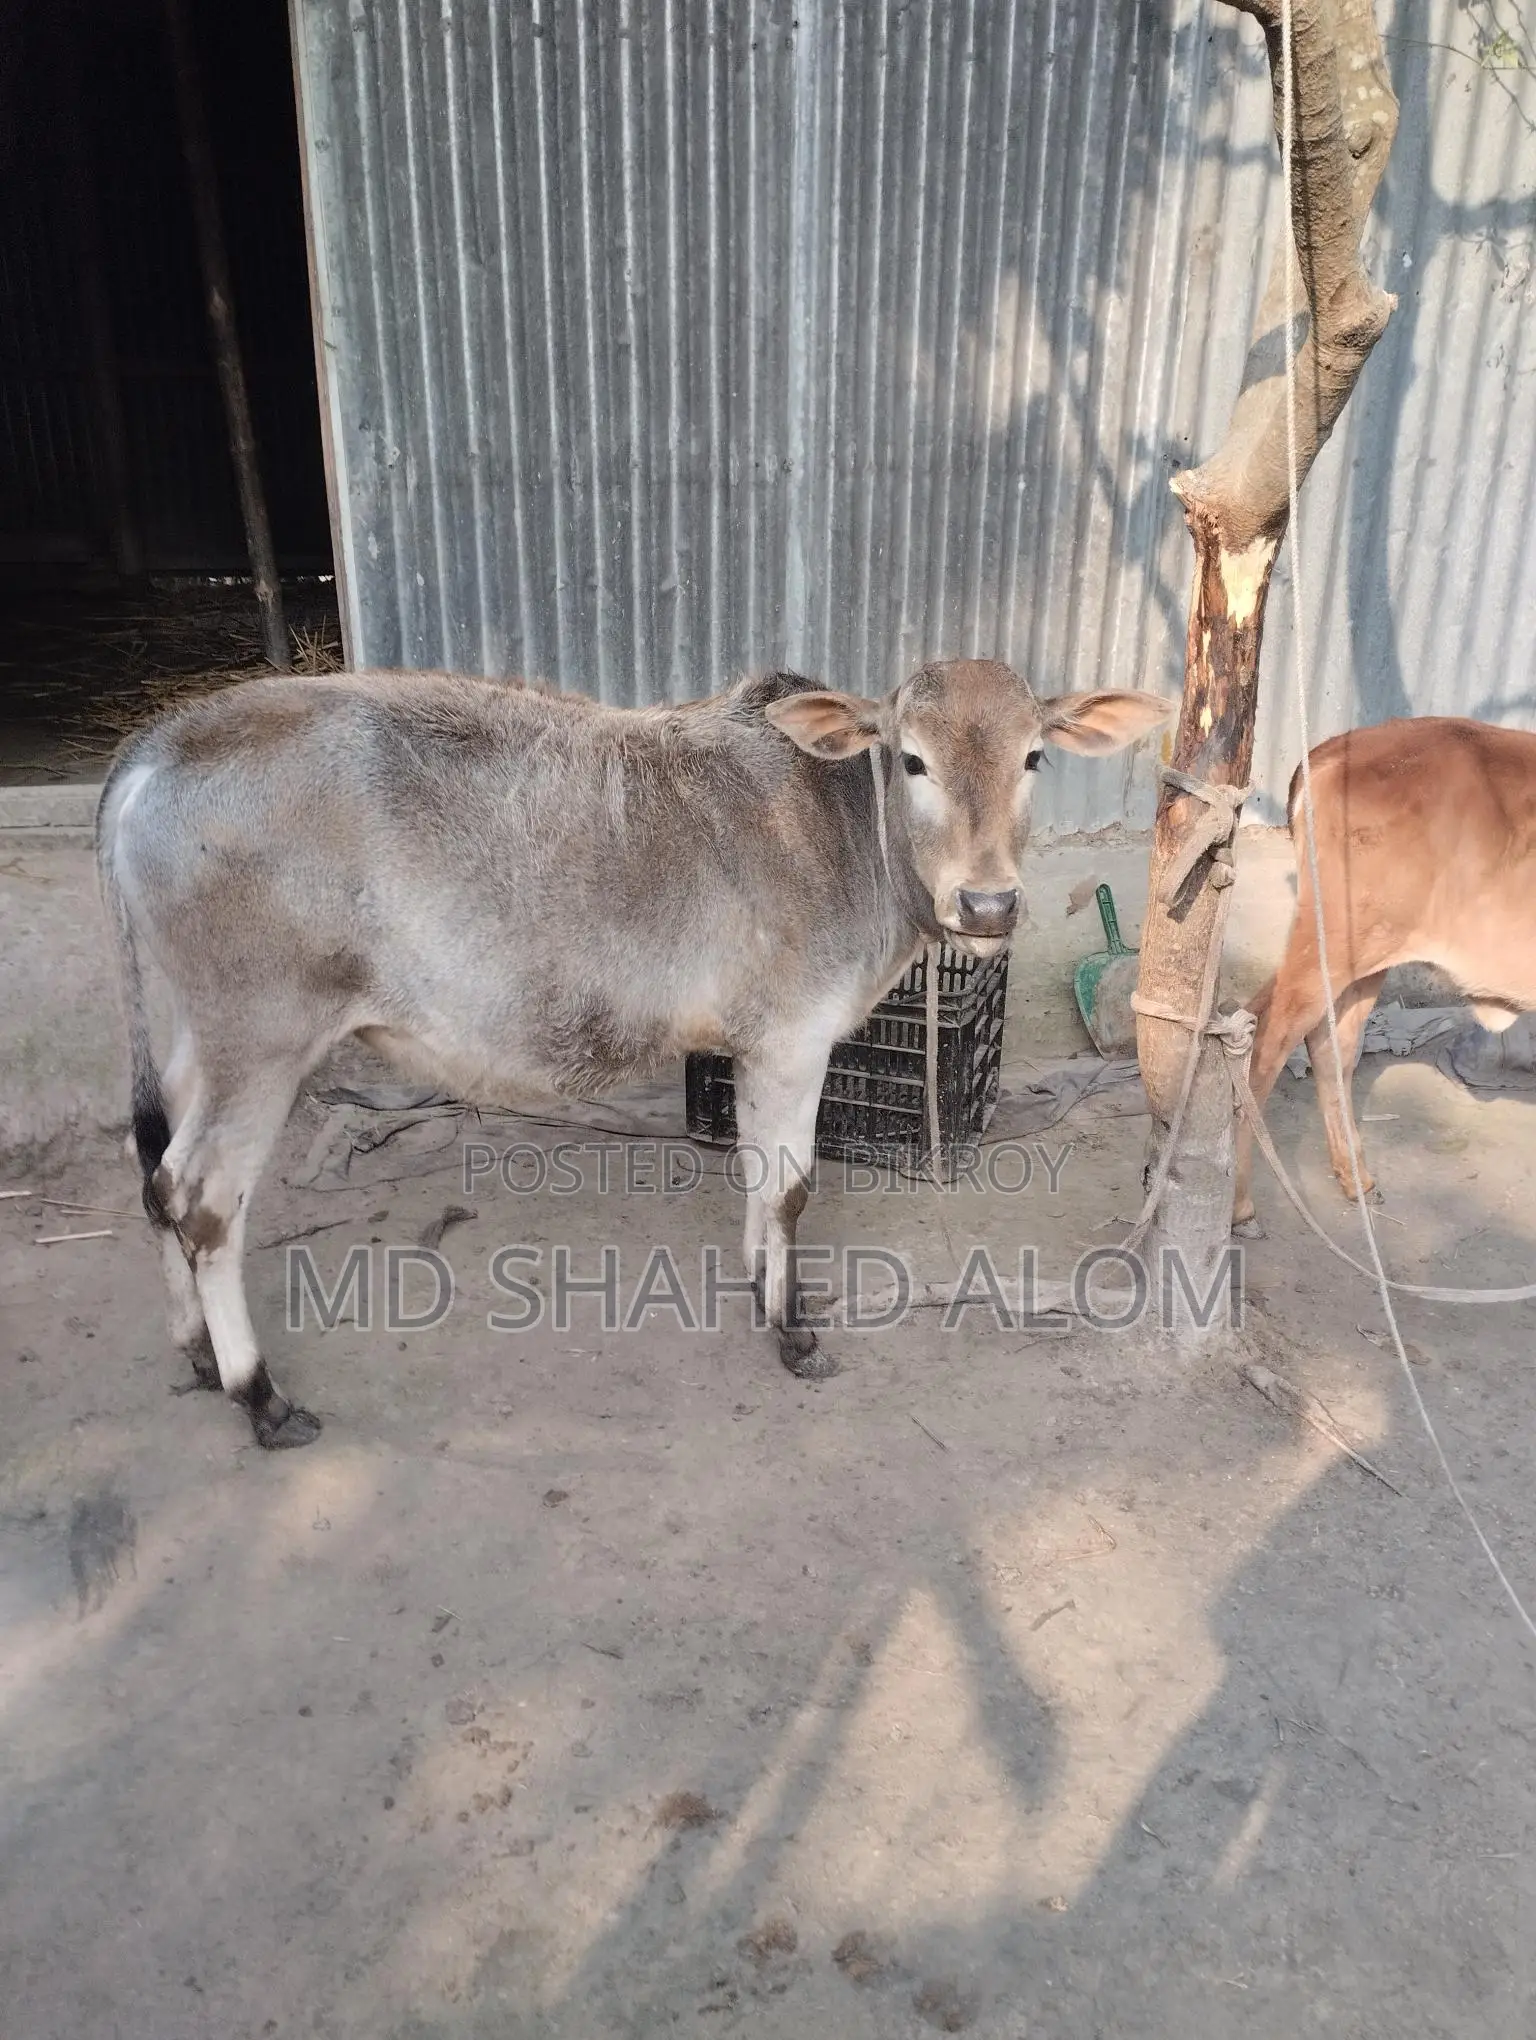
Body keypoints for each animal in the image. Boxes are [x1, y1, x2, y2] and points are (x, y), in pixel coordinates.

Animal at [98, 658, 1170, 1447]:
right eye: (911, 761)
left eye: (1034, 757)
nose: (986, 904)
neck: (844, 832)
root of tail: (160, 741)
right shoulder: (794, 1036)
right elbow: (790, 1186)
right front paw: (793, 1333)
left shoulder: (757, 1044)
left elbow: (758, 1176)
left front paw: (761, 1290)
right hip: (261, 1039)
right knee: (202, 1200)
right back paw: (259, 1394)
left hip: (196, 1035)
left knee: (154, 1173)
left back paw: (195, 1350)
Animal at [1235, 716, 1536, 1234]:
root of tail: (1332, 751)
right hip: (1337, 942)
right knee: (1267, 1043)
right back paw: (1237, 1203)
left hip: (1363, 955)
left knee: (1327, 1043)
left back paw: (1353, 1176)